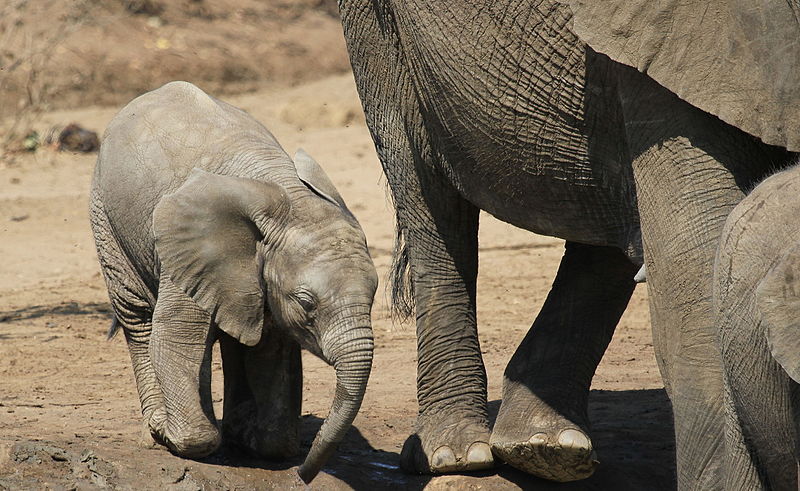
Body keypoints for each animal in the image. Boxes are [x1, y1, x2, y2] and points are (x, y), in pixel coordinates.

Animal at [90, 81, 378, 484]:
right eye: (306, 303)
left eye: (374, 296)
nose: (303, 474)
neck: (289, 197)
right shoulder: (191, 250)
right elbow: (175, 337)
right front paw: (174, 436)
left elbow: (269, 350)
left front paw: (251, 438)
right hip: (106, 217)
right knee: (139, 318)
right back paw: (160, 429)